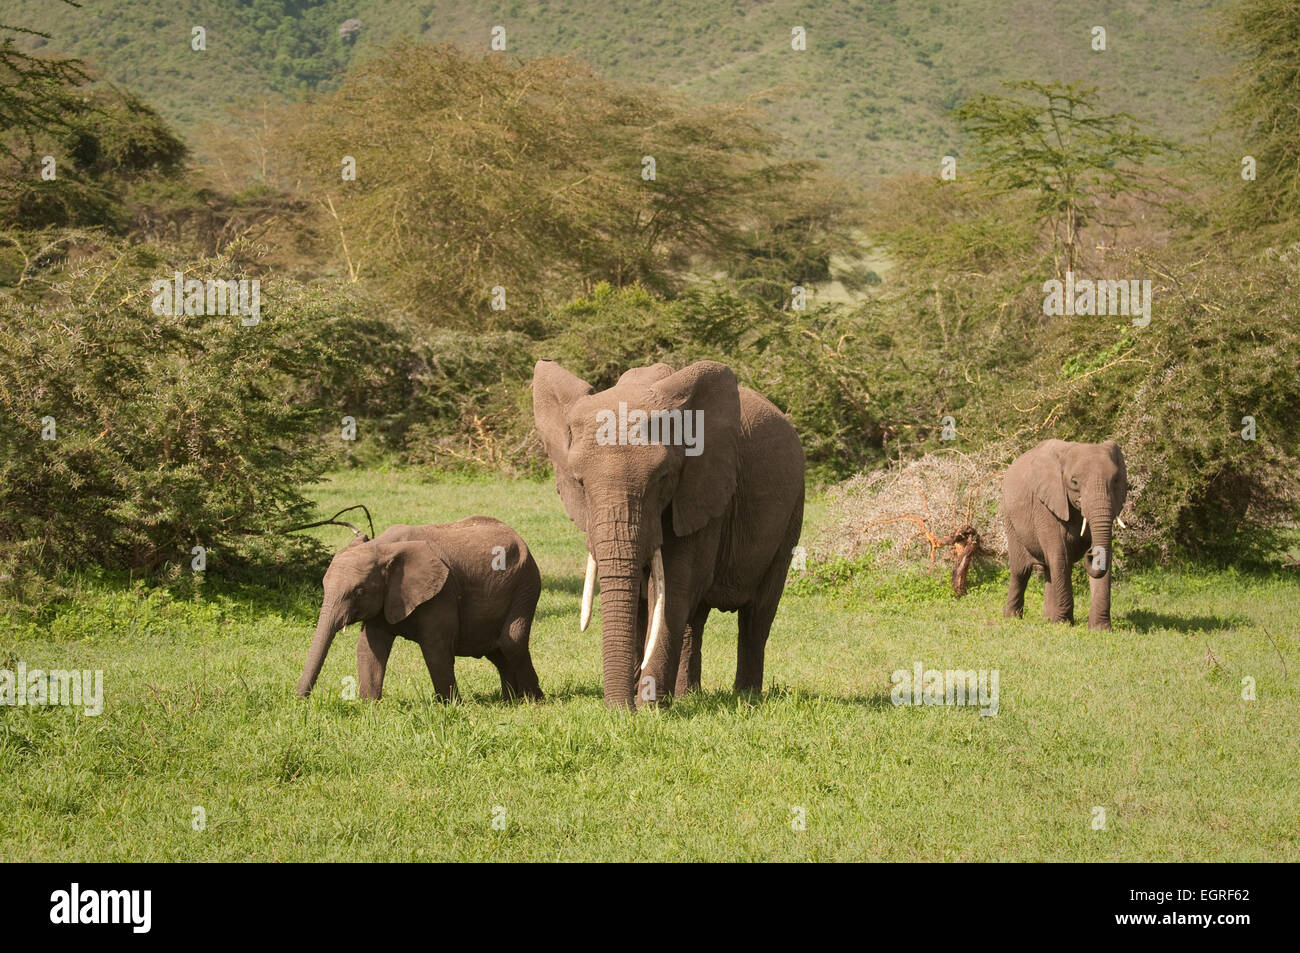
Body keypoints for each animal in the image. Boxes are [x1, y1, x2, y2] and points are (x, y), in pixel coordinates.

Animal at [293, 517, 538, 702]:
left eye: (359, 592)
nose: (300, 701)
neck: (381, 547)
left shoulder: (442, 591)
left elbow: (436, 647)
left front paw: (450, 706)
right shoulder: (388, 596)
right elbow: (369, 646)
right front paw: (369, 705)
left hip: (526, 584)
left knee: (511, 642)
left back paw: (533, 700)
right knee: (497, 651)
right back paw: (510, 701)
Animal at [530, 356, 800, 707]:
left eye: (662, 478)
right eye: (579, 482)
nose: (618, 710)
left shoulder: (701, 491)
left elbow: (672, 591)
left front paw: (647, 708)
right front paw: (644, 702)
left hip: (792, 512)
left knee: (758, 613)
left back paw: (746, 696)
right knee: (695, 618)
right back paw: (688, 696)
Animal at [1003, 439, 1128, 631]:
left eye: (1115, 480)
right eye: (1074, 482)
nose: (1090, 552)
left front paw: (1100, 629)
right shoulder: (1046, 505)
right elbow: (1059, 553)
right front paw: (1062, 625)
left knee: (1051, 569)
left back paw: (1047, 618)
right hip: (1010, 519)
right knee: (1021, 570)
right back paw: (1012, 619)